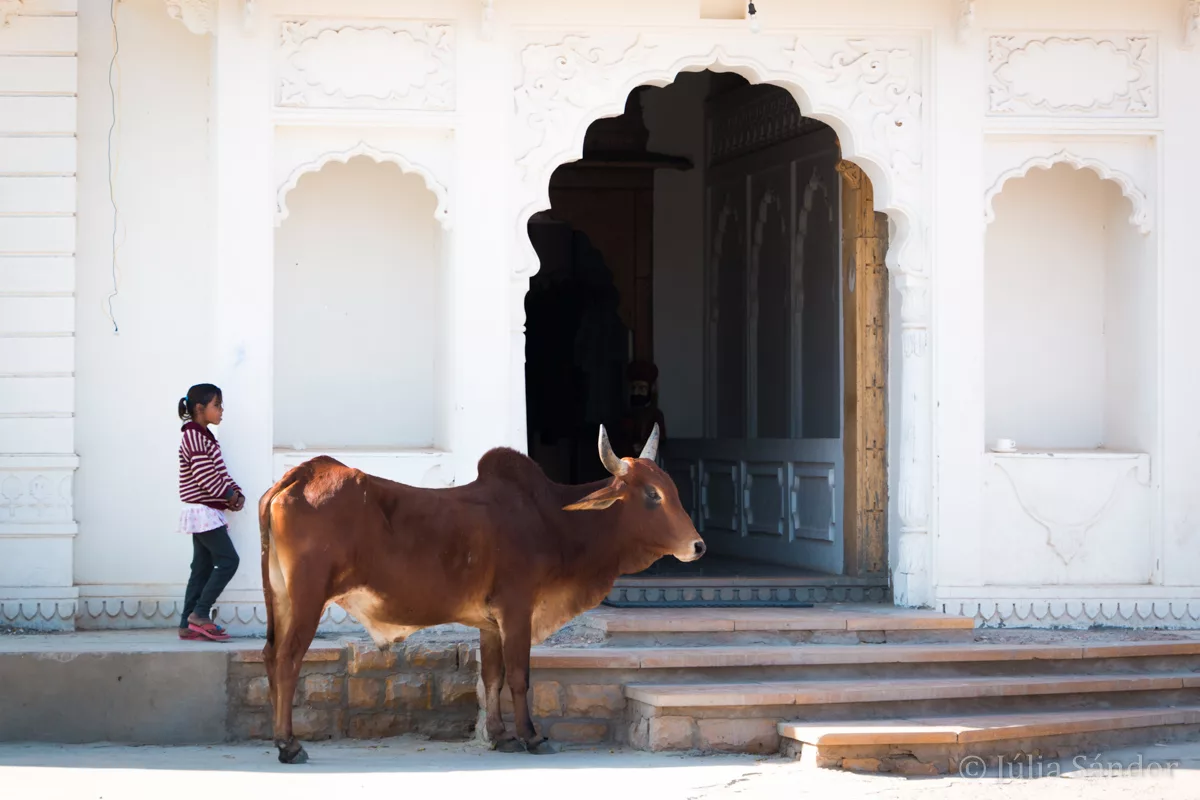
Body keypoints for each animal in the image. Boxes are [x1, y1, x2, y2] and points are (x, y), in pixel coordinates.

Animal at [257, 423, 704, 764]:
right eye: (651, 495)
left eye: (672, 490)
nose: (698, 546)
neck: (553, 520)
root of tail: (298, 477)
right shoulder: (517, 609)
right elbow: (520, 675)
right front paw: (530, 735)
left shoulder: (490, 622)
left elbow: (493, 676)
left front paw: (500, 735)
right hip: (308, 599)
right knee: (288, 660)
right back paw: (289, 744)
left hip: (280, 599)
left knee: (269, 655)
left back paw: (279, 738)